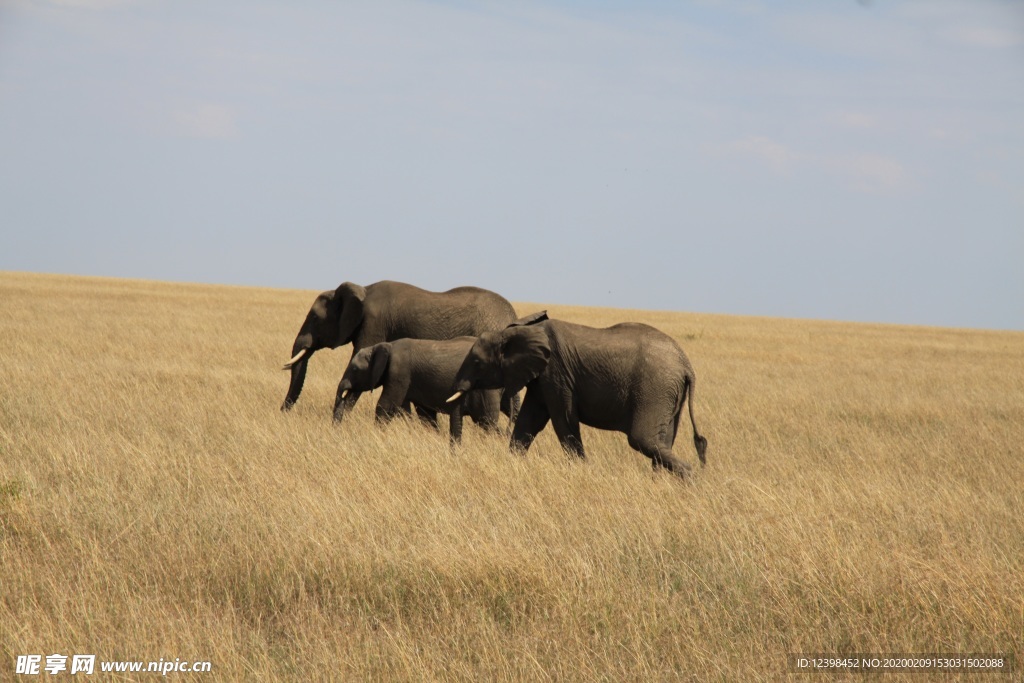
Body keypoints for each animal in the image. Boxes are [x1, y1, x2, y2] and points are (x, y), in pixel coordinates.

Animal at [333, 335, 501, 444]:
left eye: (355, 369)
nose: (338, 431)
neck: (385, 345)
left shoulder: (398, 372)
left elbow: (386, 405)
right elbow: (424, 414)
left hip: (485, 392)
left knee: (488, 422)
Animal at [452, 313, 708, 479]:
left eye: (477, 362)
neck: (518, 330)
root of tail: (686, 365)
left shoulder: (556, 372)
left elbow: (563, 420)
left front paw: (582, 470)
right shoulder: (542, 377)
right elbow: (530, 421)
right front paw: (513, 463)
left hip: (655, 389)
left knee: (642, 439)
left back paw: (689, 477)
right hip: (668, 394)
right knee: (662, 440)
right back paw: (662, 482)